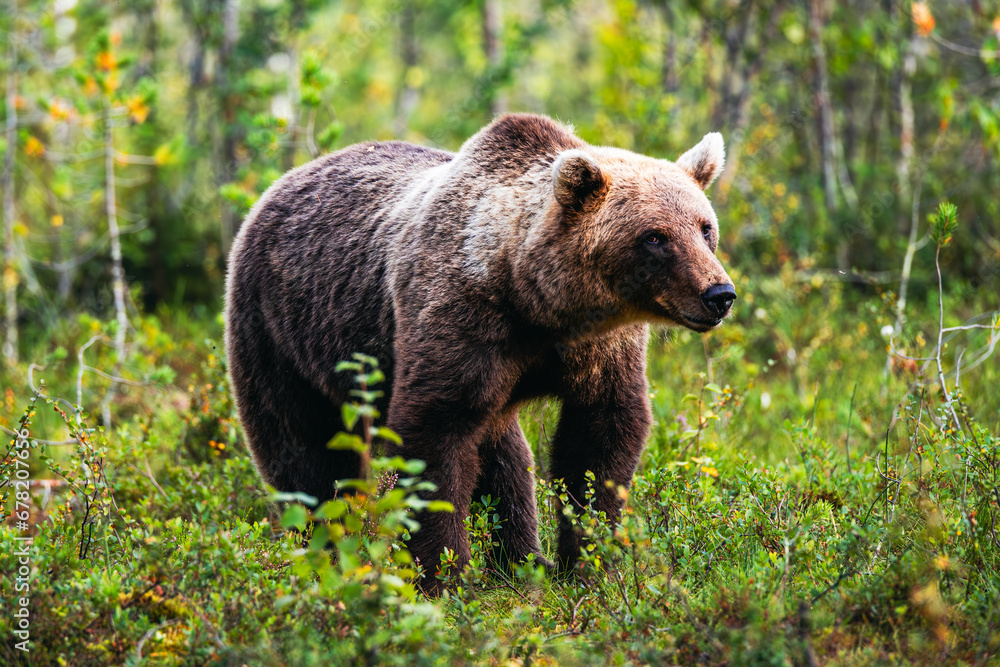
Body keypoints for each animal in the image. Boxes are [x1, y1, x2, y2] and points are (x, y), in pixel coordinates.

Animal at [224, 113, 735, 592]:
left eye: (704, 228)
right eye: (655, 236)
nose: (720, 293)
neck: (535, 300)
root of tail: (282, 182)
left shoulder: (598, 349)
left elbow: (600, 439)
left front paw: (588, 565)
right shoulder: (461, 319)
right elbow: (433, 435)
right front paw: (443, 575)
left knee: (504, 459)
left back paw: (523, 561)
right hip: (281, 329)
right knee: (304, 452)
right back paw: (324, 551)